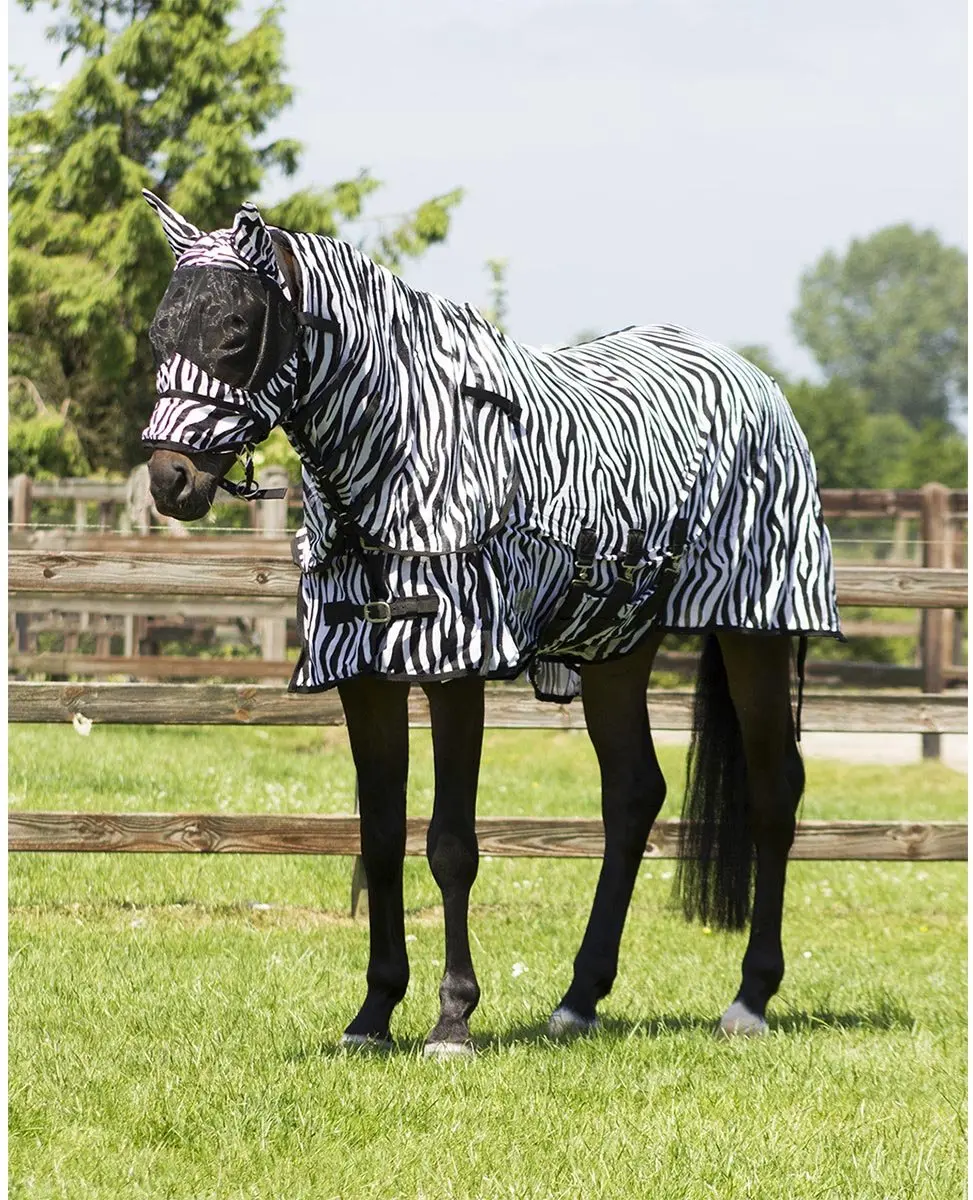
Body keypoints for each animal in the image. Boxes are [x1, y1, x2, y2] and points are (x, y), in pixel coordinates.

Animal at [142, 191, 841, 1056]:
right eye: (158, 332)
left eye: (237, 328)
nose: (169, 480)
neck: (402, 460)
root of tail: (756, 382)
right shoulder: (364, 674)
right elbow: (379, 838)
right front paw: (372, 1014)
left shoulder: (455, 666)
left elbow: (450, 845)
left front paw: (451, 1020)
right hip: (614, 645)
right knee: (633, 794)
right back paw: (579, 1000)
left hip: (756, 631)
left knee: (775, 790)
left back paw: (749, 1000)